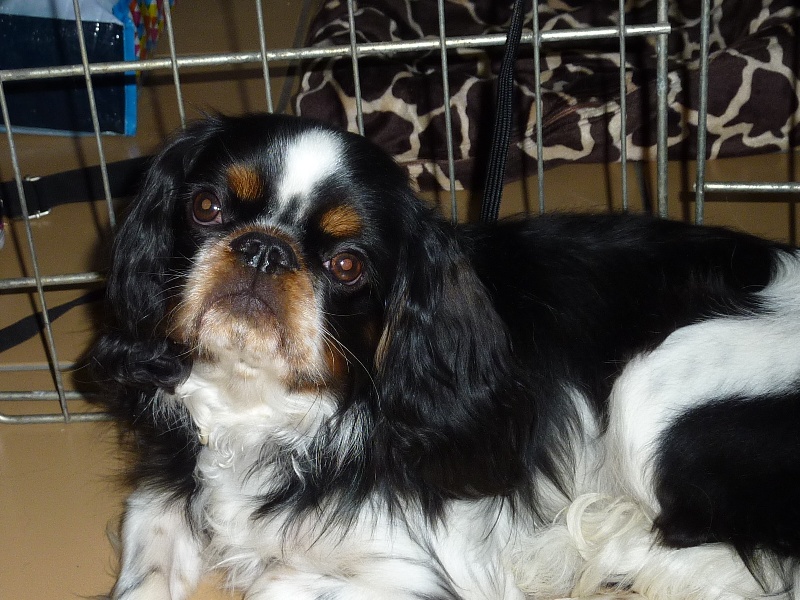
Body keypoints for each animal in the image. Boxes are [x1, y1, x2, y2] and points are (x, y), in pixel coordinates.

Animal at [92, 112, 800, 599]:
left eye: (347, 265)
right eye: (206, 207)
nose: (264, 249)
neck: (277, 410)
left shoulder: (415, 572)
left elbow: (278, 583)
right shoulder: (163, 492)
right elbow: (147, 562)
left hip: (651, 387)